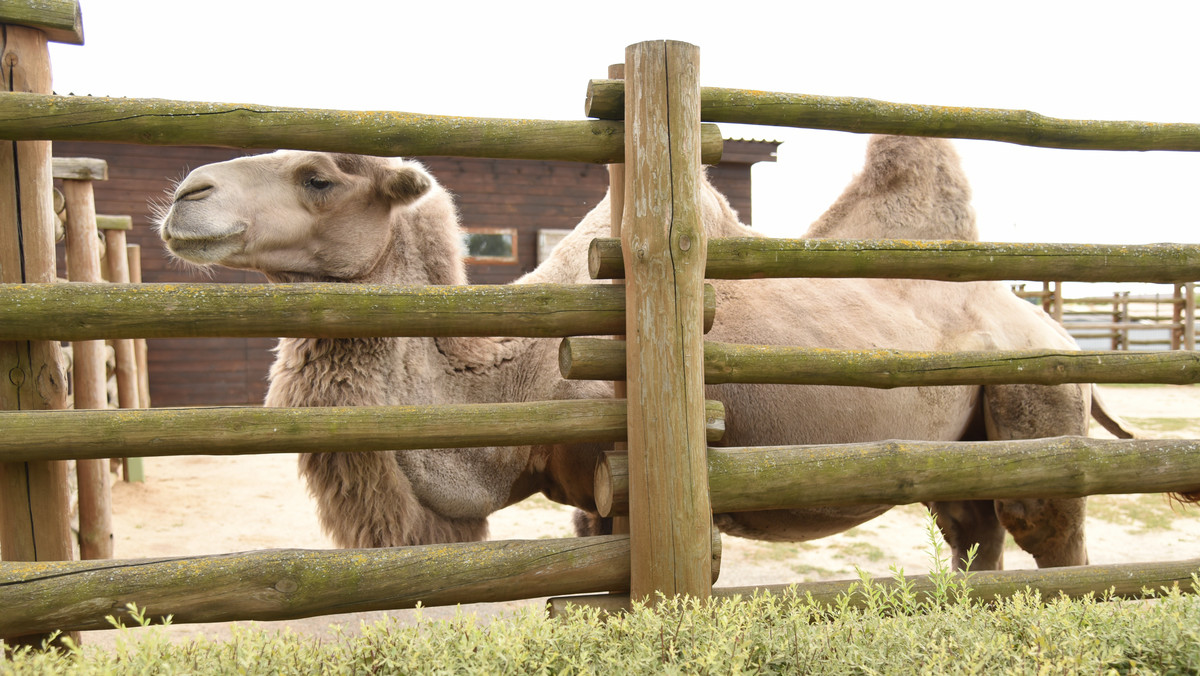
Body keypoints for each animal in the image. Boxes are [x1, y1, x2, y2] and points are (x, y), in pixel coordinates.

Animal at [159, 137, 1099, 571]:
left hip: (1037, 408)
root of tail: (1055, 332)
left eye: (319, 177)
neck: (512, 376)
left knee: (1049, 539)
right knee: (975, 536)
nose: (184, 194)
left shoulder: (651, 491)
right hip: (962, 450)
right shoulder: (586, 500)